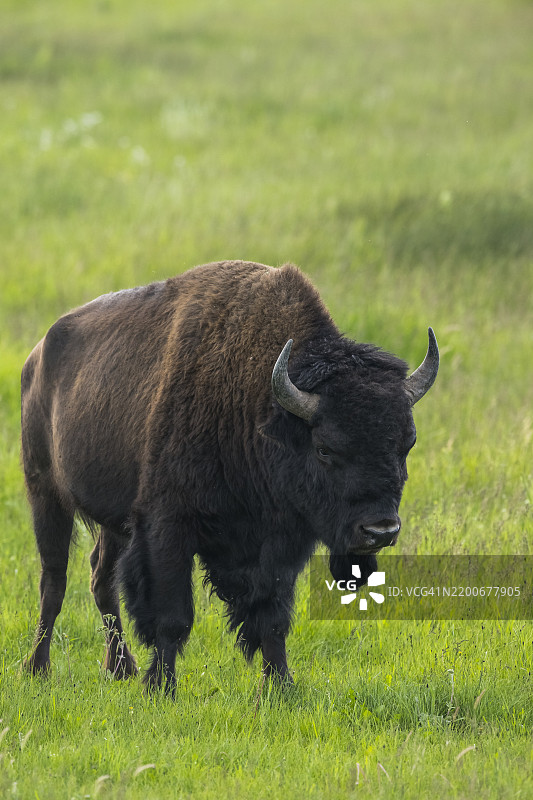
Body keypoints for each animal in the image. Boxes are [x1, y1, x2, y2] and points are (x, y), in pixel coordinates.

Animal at [21, 260, 438, 690]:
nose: (381, 531)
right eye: (325, 448)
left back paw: (121, 668)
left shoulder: (278, 544)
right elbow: (172, 617)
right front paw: (161, 688)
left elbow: (272, 618)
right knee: (54, 581)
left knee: (100, 577)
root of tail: (37, 357)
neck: (257, 403)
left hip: (113, 521)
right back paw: (38, 669)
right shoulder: (166, 529)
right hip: (45, 495)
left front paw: (280, 686)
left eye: (406, 445)